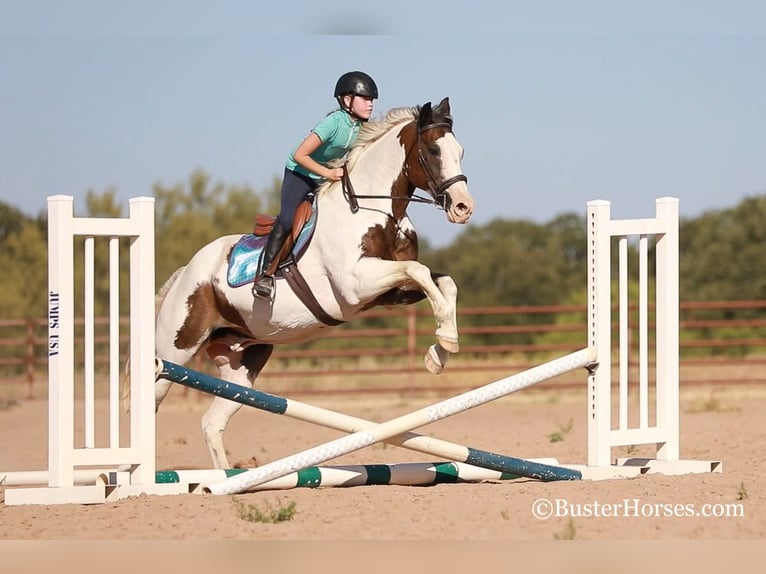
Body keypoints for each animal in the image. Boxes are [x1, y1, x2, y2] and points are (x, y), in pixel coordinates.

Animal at [152, 97, 474, 470]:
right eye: (434, 150)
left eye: (460, 151)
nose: (464, 207)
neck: (373, 210)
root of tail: (186, 272)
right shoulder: (357, 284)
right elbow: (419, 271)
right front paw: (444, 341)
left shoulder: (387, 292)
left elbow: (443, 282)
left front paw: (441, 350)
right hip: (175, 349)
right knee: (152, 399)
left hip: (242, 363)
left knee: (211, 422)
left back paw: (226, 479)